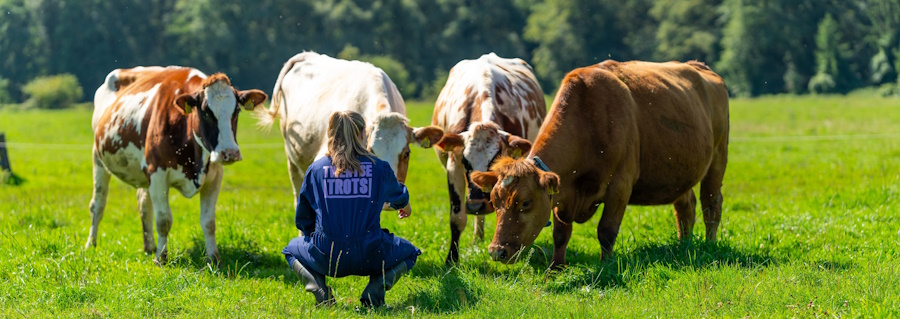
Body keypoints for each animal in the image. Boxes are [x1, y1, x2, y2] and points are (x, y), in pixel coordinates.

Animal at [89, 65, 268, 264]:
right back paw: (91, 245)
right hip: (98, 158)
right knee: (97, 204)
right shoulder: (157, 174)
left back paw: (149, 246)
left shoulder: (214, 177)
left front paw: (213, 258)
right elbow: (163, 220)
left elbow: (209, 222)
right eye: (205, 113)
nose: (230, 153)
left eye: (236, 111)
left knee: (143, 205)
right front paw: (161, 258)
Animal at [430, 53, 544, 266]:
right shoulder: (453, 165)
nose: (476, 205)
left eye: (494, 161)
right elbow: (457, 217)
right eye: (466, 162)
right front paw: (452, 259)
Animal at [472, 60, 732, 268]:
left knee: (711, 205)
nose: (496, 252)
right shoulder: (563, 193)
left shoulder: (620, 186)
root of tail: (698, 66)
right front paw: (555, 268)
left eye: (525, 202)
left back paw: (709, 245)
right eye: (494, 200)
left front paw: (605, 266)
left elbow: (606, 230)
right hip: (680, 171)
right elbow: (561, 233)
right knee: (686, 206)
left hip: (718, 157)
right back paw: (683, 245)